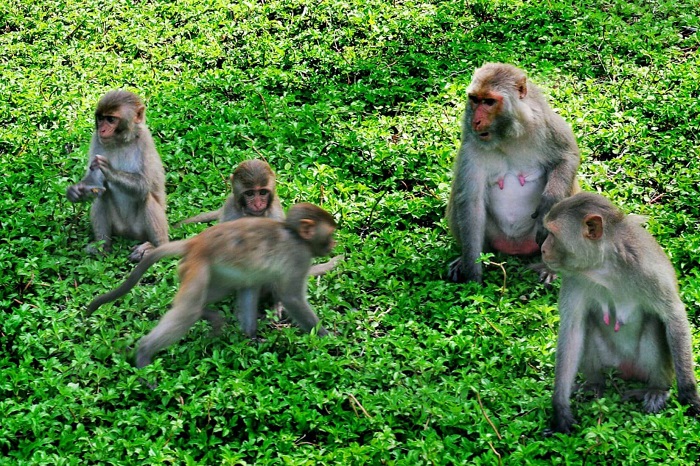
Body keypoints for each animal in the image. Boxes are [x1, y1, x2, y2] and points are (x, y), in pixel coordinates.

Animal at [66, 89, 170, 260]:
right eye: (101, 118)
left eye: (111, 119)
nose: (102, 129)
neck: (121, 141)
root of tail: (127, 233)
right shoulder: (97, 139)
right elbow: (95, 182)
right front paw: (76, 191)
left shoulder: (145, 141)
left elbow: (144, 185)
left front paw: (108, 170)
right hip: (118, 226)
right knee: (101, 196)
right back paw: (102, 247)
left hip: (140, 230)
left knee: (146, 197)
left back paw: (156, 248)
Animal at [85, 202, 336, 370]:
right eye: (330, 233)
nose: (333, 244)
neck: (295, 235)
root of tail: (196, 242)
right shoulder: (298, 257)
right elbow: (291, 297)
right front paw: (329, 338)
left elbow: (252, 286)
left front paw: (251, 335)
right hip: (198, 266)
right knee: (187, 311)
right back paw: (144, 351)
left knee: (235, 286)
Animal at [446, 62, 584, 284]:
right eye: (474, 99)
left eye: (489, 101)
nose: (475, 121)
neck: (506, 137)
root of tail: (515, 248)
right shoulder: (470, 146)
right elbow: (471, 202)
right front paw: (473, 275)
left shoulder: (545, 123)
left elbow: (567, 157)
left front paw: (548, 202)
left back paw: (550, 268)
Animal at [540, 192, 700, 434]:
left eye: (552, 233)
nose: (542, 249)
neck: (603, 266)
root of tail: (626, 369)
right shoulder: (574, 278)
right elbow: (572, 329)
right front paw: (560, 407)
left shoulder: (647, 271)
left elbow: (673, 315)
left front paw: (689, 395)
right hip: (610, 360)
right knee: (587, 325)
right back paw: (595, 384)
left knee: (655, 323)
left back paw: (657, 389)